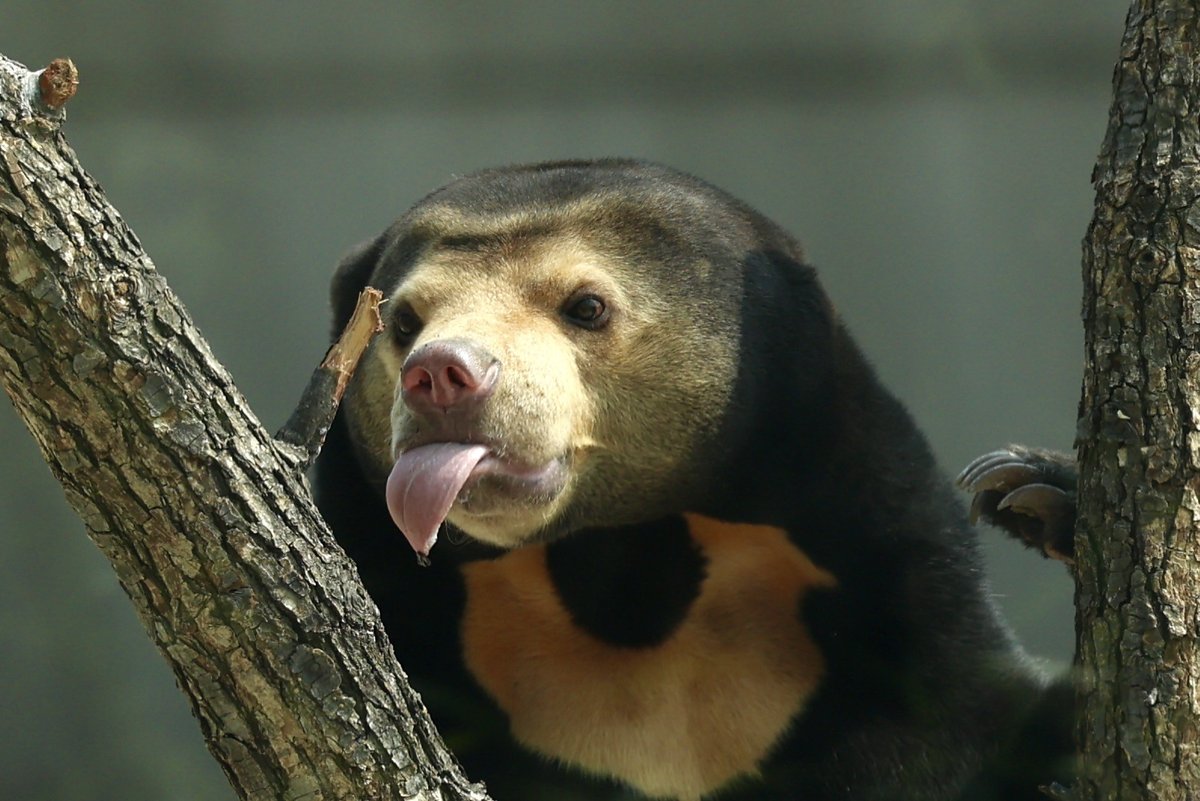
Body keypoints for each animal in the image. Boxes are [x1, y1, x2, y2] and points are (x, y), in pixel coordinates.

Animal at [313, 158, 1076, 800]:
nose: (442, 374)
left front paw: (1033, 490)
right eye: (402, 321)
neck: (624, 554)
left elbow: (987, 719)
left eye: (586, 306)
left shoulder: (875, 549)